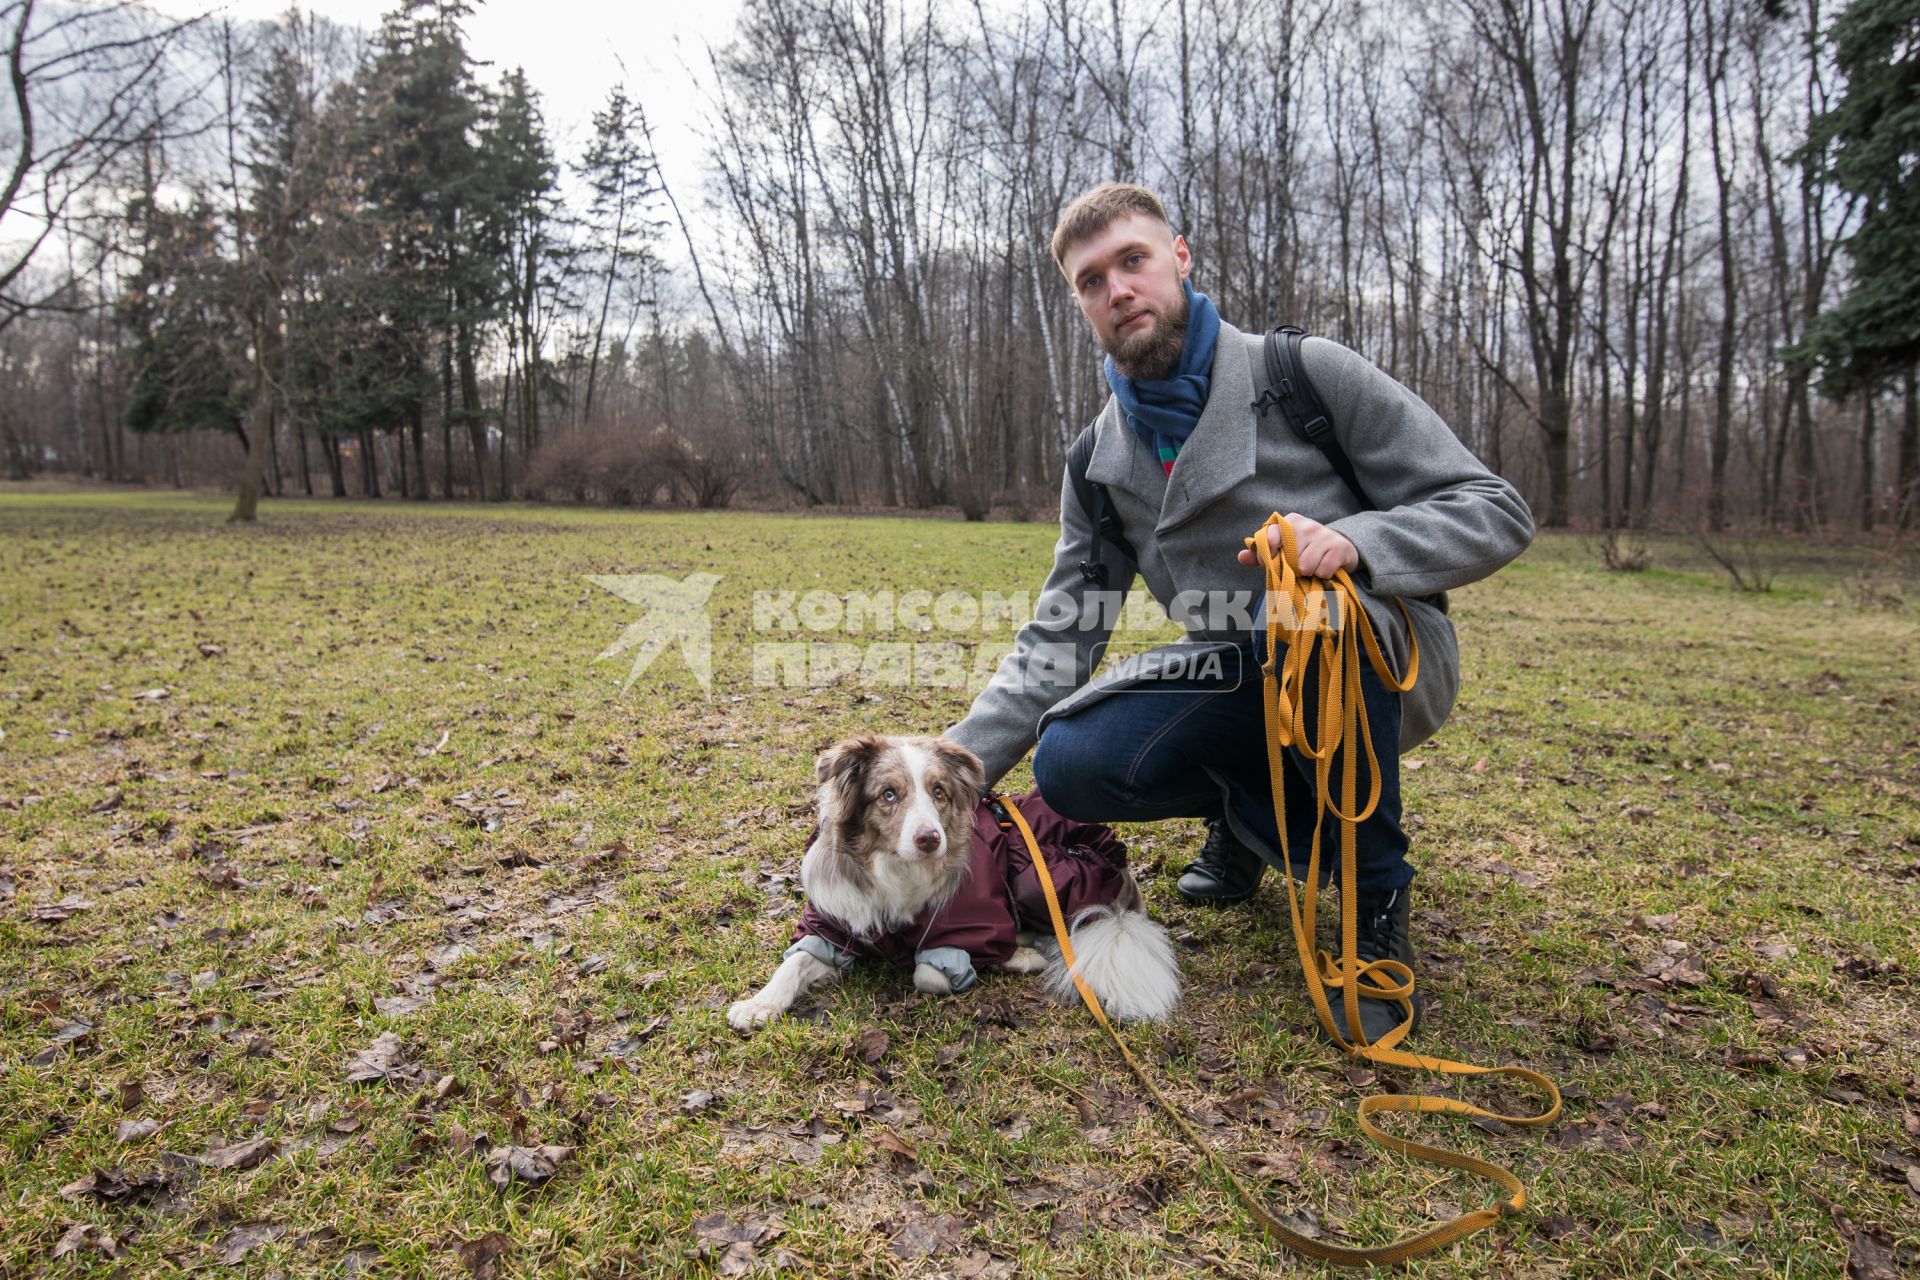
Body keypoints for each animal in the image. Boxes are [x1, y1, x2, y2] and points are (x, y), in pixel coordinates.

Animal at [725, 736, 1175, 1028]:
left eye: (938, 792)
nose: (930, 839)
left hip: (1037, 875)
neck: (894, 869)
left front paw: (990, 961)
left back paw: (1023, 954)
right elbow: (795, 962)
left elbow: (929, 973)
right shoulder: (836, 924)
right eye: (889, 795)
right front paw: (758, 1005)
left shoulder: (972, 924)